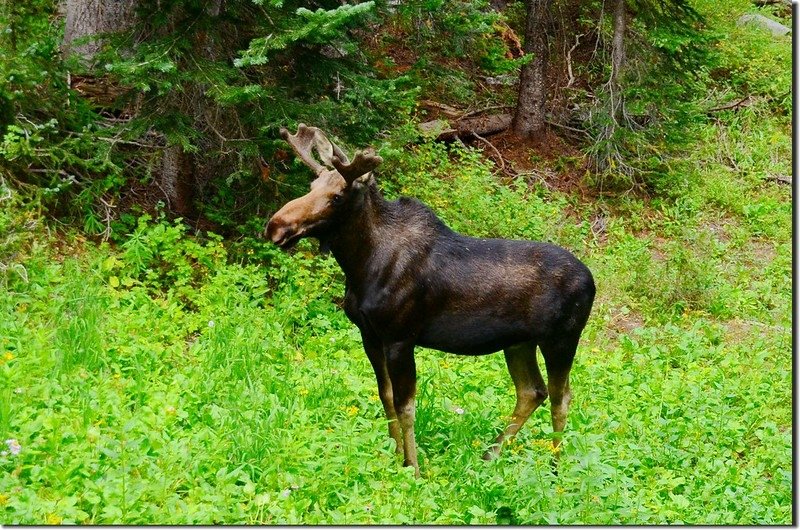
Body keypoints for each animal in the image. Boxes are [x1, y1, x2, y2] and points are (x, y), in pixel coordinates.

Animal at [268, 125, 592, 474]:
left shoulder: (401, 336)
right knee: (532, 391)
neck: (360, 266)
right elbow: (384, 395)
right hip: (519, 342)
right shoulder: (369, 334)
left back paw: (555, 467)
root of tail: (592, 282)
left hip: (562, 339)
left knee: (561, 397)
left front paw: (413, 466)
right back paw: (489, 455)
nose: (276, 226)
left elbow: (406, 405)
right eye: (311, 186)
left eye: (337, 196)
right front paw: (396, 455)